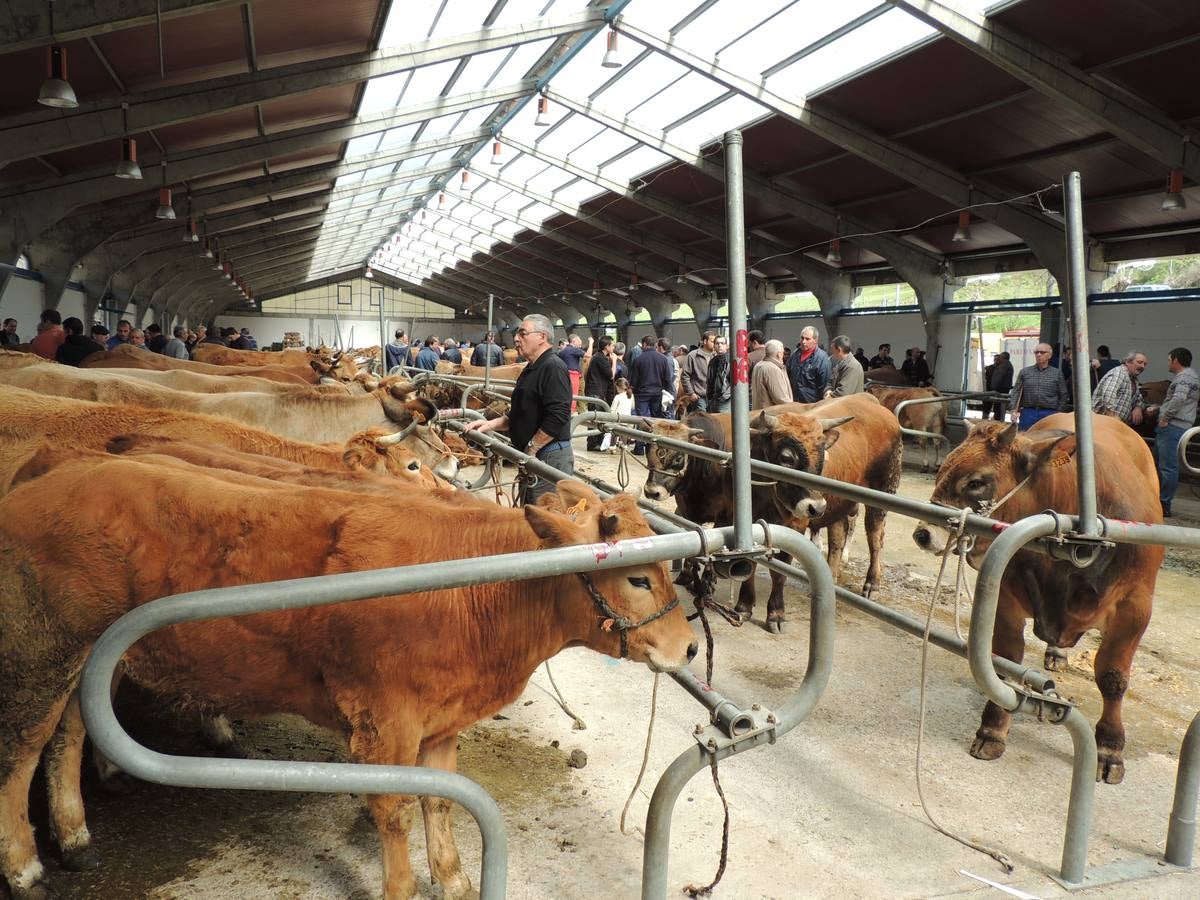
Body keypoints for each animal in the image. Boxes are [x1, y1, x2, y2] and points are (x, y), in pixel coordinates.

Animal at [0, 472, 696, 900]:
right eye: (638, 577)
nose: (689, 647)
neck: (474, 588)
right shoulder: (386, 720)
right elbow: (394, 808)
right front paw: (402, 886)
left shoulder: (441, 721)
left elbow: (441, 802)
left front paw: (455, 880)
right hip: (43, 653)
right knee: (25, 749)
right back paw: (26, 864)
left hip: (90, 662)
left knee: (68, 736)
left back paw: (75, 833)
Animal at [912, 420, 1156, 787]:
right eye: (942, 470)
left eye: (977, 481)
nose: (924, 534)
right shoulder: (1004, 592)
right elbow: (1007, 658)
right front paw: (993, 729)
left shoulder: (1136, 605)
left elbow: (1113, 677)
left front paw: (1110, 747)